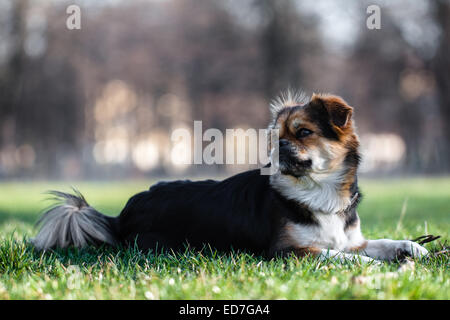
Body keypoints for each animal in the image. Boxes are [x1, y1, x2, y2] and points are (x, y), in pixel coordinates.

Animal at [31, 91, 428, 264]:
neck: (317, 192)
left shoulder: (350, 240)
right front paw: (377, 266)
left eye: (303, 133)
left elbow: (380, 243)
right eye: (273, 137)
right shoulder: (289, 251)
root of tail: (122, 215)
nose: (277, 148)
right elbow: (342, 257)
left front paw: (414, 248)